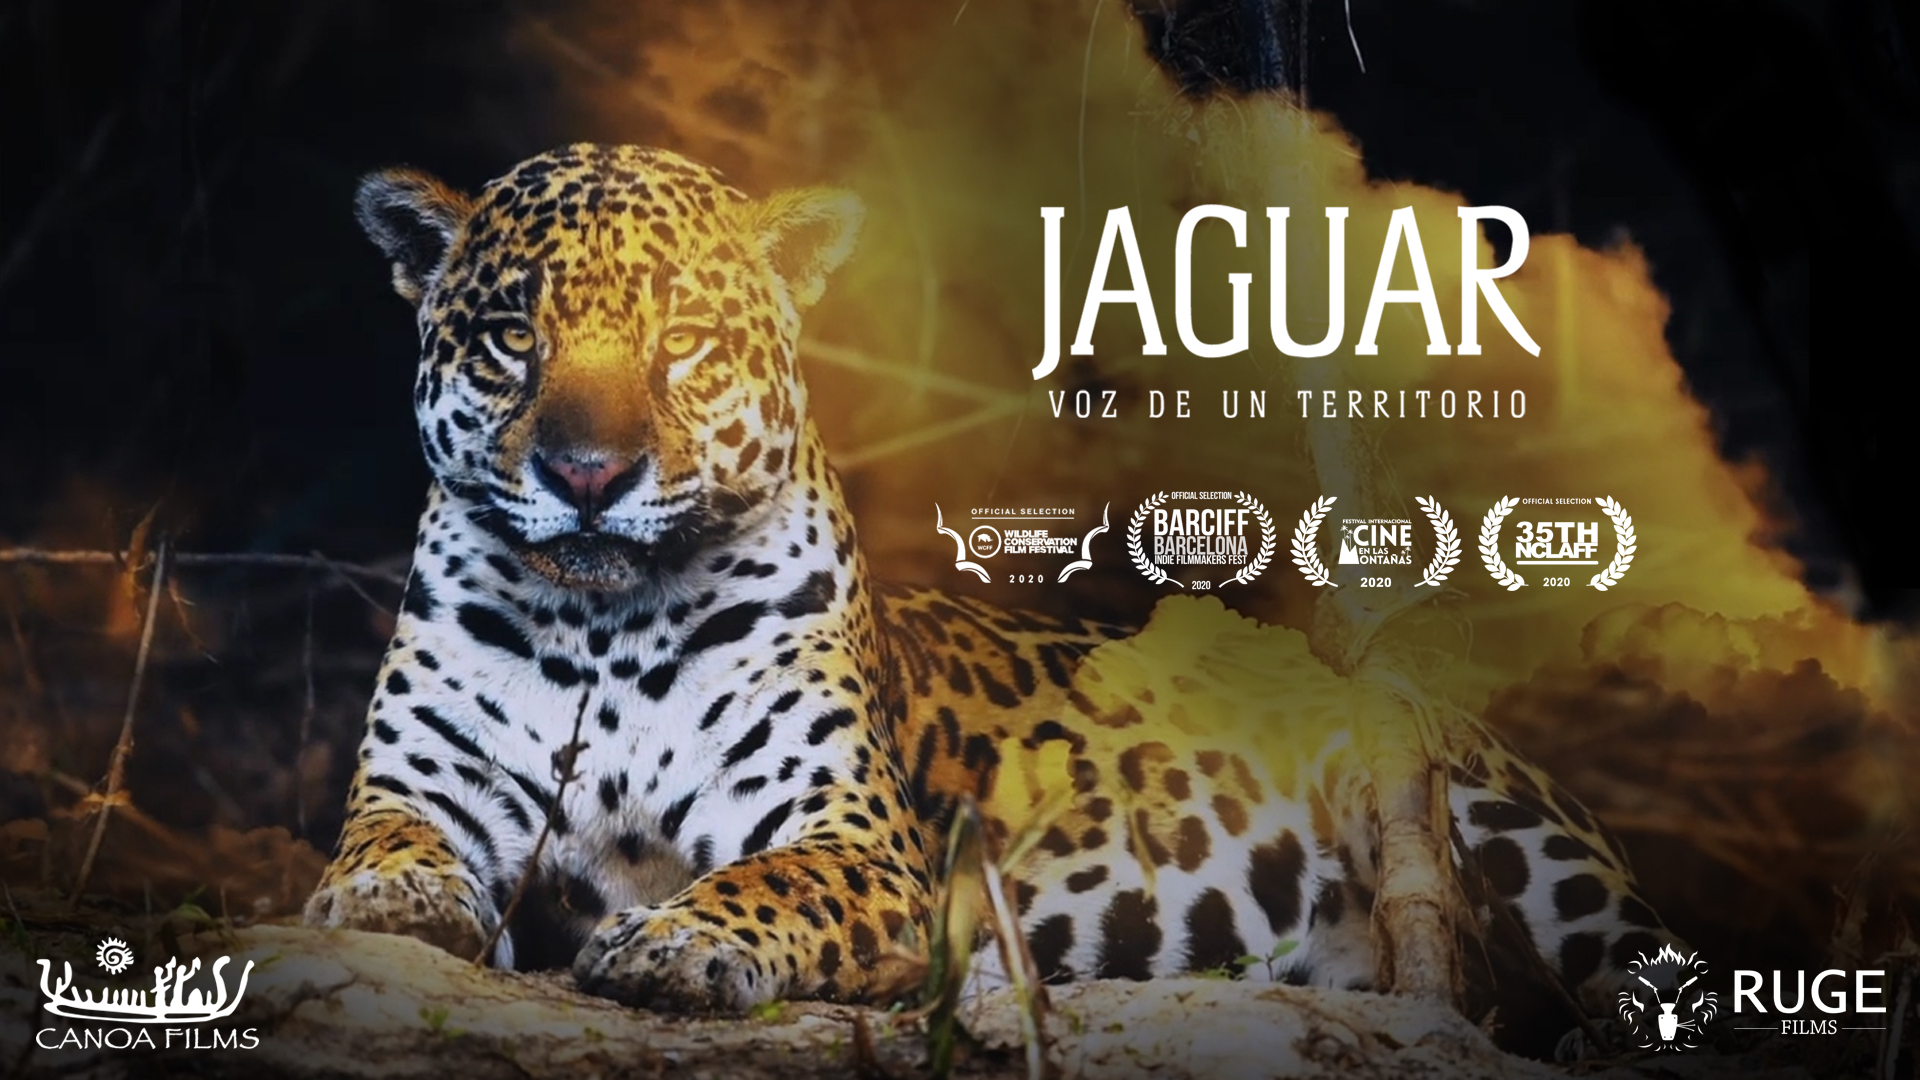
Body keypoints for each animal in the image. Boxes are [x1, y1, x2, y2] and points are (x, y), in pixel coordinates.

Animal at [303, 142, 1684, 1044]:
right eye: (510, 339)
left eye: (682, 342)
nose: (587, 473)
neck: (606, 627)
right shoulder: (422, 785)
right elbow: (388, 837)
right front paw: (390, 892)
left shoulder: (856, 838)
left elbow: (766, 881)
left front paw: (676, 940)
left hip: (1513, 827)